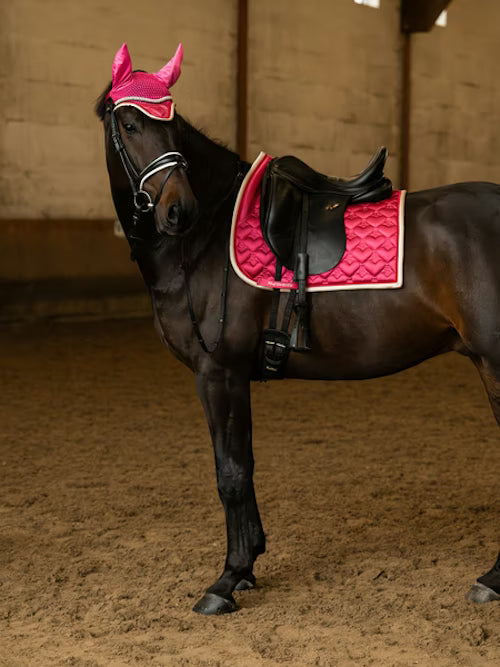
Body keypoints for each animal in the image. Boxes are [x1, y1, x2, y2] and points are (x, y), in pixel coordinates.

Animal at [95, 56, 500, 616]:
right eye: (130, 124)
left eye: (172, 126)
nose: (178, 210)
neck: (206, 238)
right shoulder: (231, 377)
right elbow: (243, 463)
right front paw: (247, 566)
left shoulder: (217, 373)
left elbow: (230, 472)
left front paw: (227, 579)